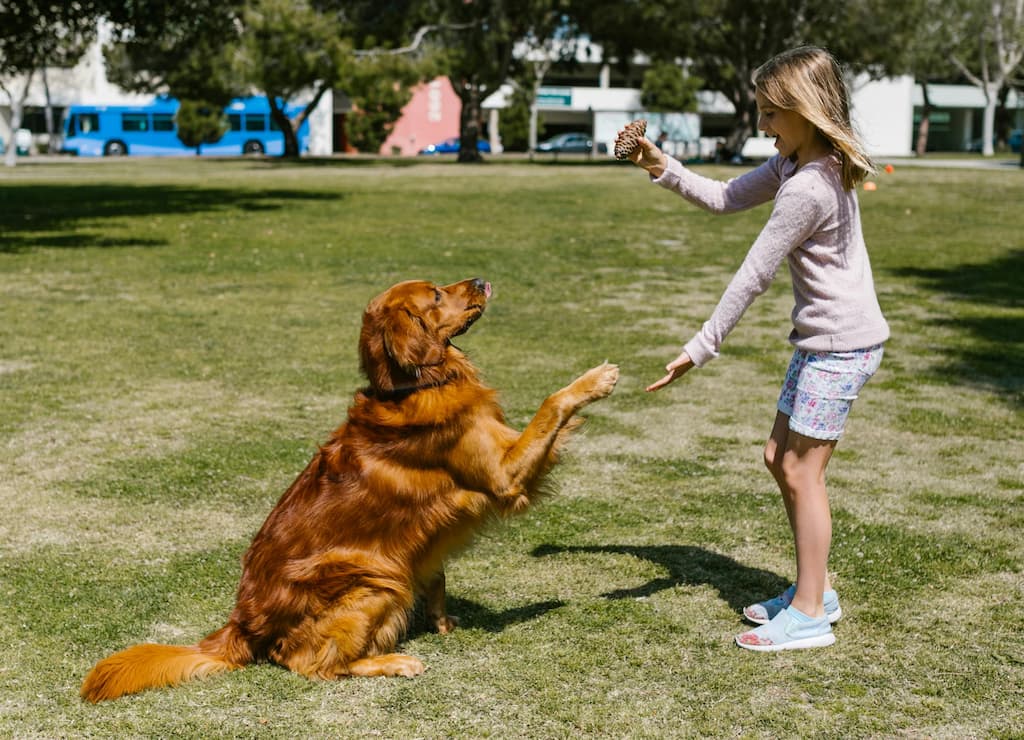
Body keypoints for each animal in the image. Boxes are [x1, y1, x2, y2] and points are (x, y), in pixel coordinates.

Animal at [79, 276, 618, 700]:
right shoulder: (503, 474)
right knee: (306, 663)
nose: (483, 279)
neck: (414, 385)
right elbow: (551, 404)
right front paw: (593, 379)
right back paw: (393, 661)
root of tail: (240, 626)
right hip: (373, 580)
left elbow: (438, 575)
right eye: (436, 294)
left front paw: (443, 622)